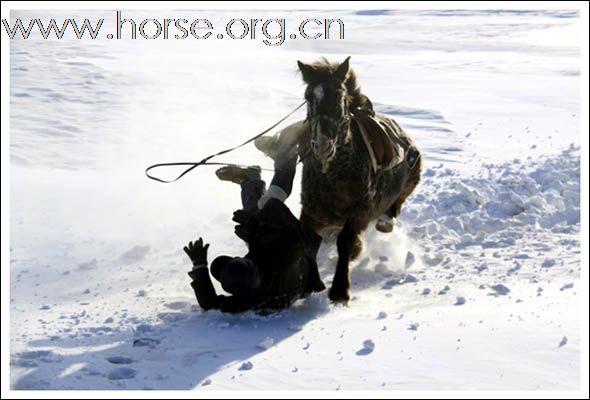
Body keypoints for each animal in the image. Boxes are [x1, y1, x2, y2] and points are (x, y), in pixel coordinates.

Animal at [298, 57, 424, 304]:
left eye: (340, 98)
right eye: (308, 98)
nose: (323, 145)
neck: (334, 173)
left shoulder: (360, 211)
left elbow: (345, 242)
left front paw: (339, 291)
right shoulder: (311, 211)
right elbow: (306, 242)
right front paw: (309, 285)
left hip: (410, 179)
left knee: (395, 205)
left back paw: (384, 223)